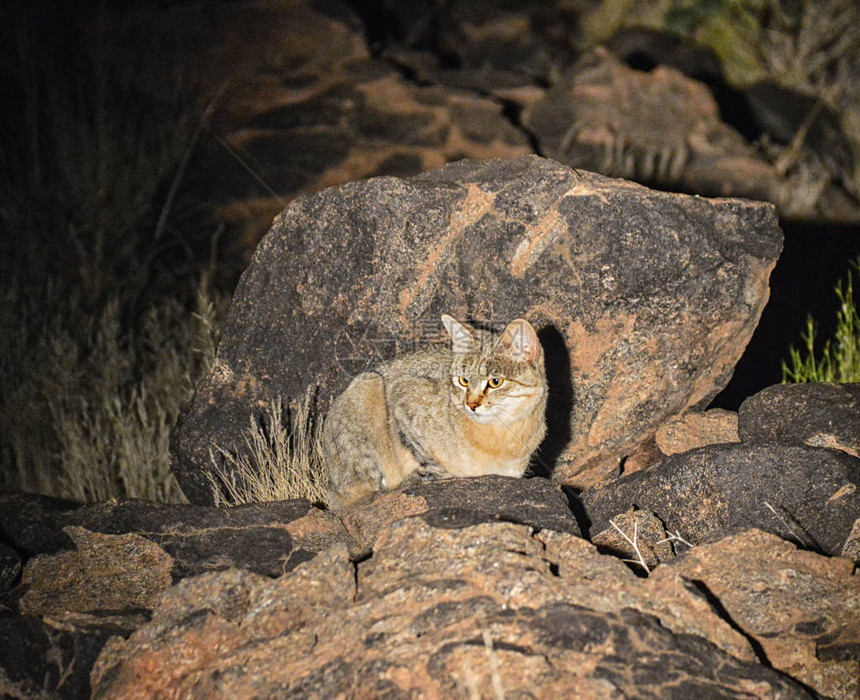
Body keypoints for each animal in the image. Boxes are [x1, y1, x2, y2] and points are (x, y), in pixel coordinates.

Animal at [320, 316, 548, 508]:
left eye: (495, 382)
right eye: (463, 380)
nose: (471, 405)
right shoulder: (402, 393)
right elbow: (426, 456)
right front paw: (437, 475)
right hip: (368, 387)